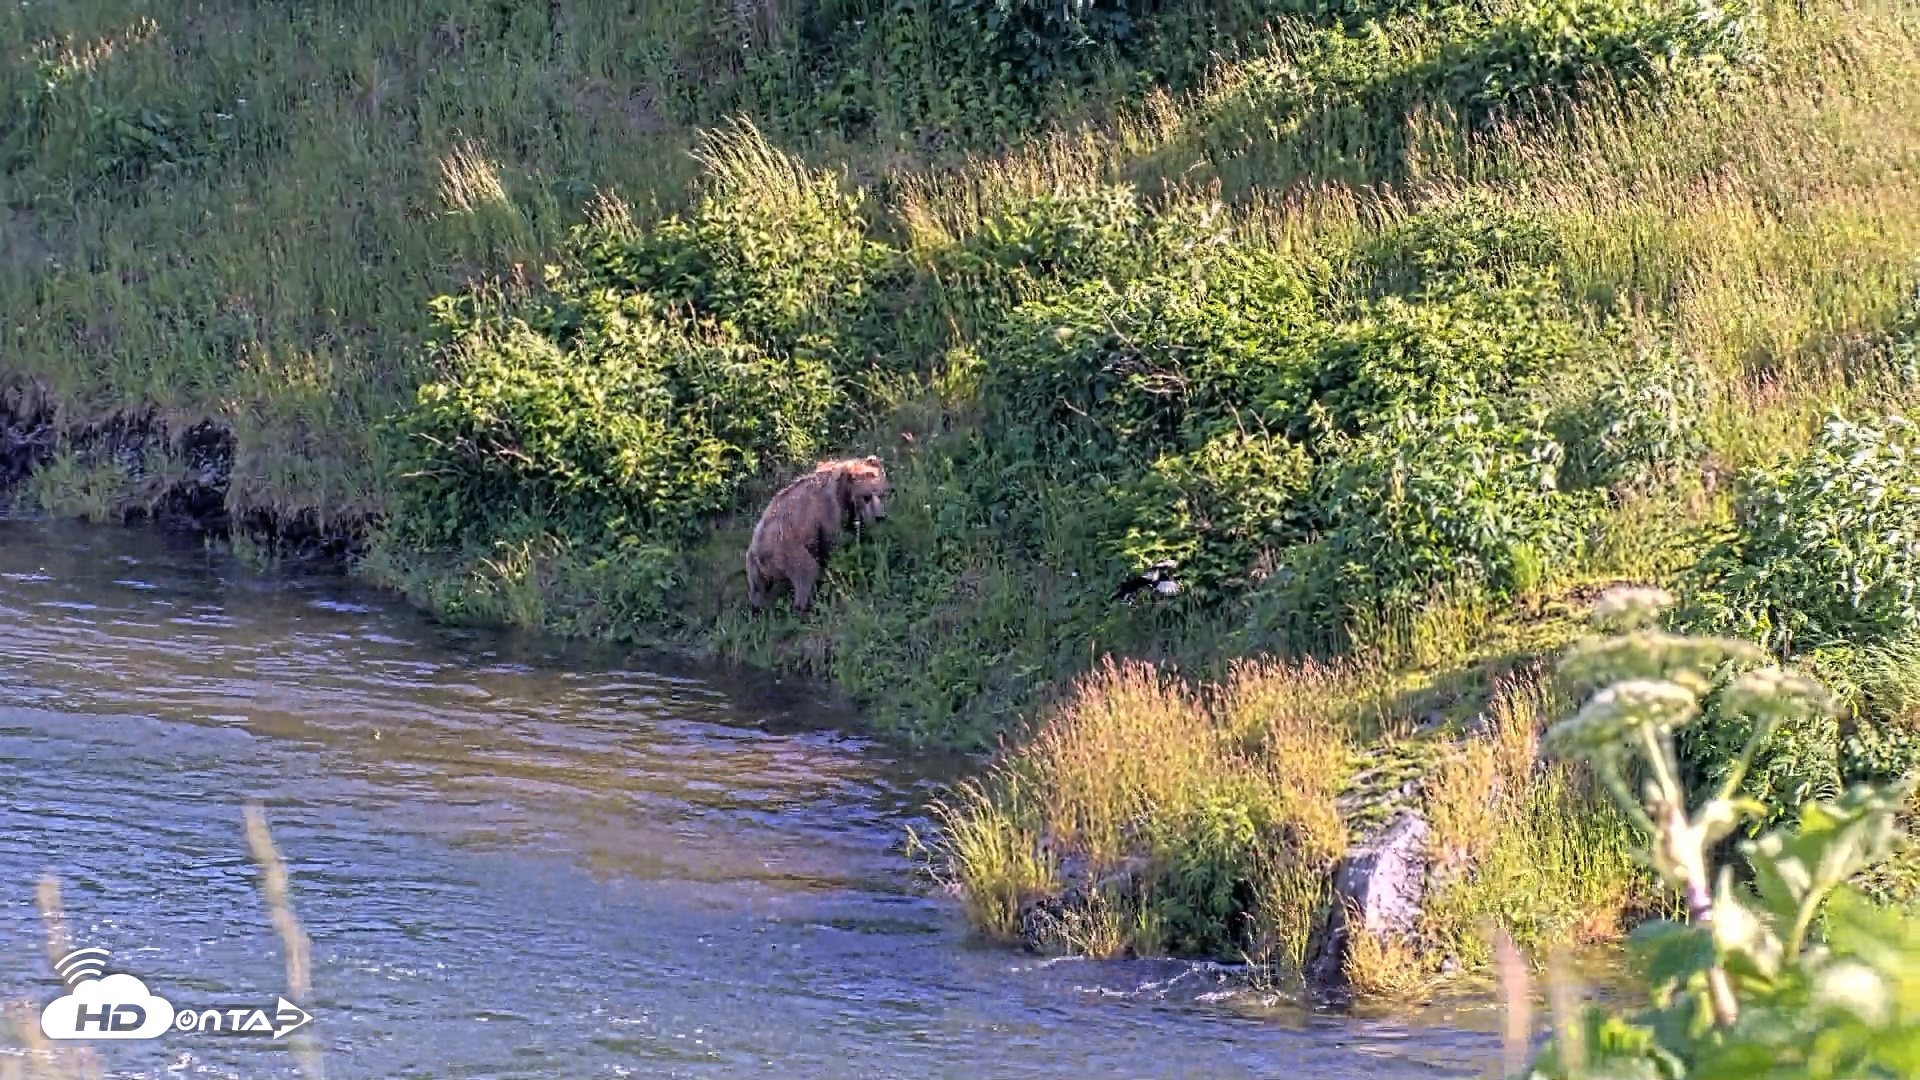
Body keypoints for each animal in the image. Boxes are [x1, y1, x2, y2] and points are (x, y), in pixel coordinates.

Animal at [745, 455, 890, 614]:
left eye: (882, 494)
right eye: (866, 497)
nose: (880, 517)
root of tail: (759, 551)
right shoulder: (827, 511)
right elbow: (834, 542)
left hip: (753, 566)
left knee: (757, 591)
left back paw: (758, 608)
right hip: (787, 549)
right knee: (806, 573)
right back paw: (807, 607)